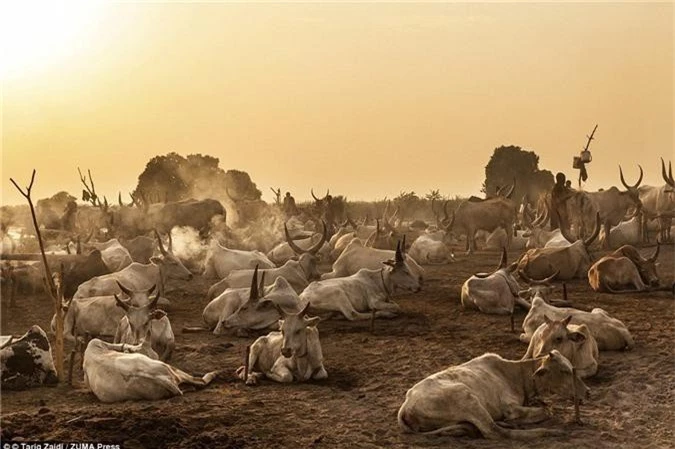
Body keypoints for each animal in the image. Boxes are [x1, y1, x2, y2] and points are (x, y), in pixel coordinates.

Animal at [398, 350, 588, 438]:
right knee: (495, 431)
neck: (516, 375)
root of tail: (406, 405)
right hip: (467, 398)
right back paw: (549, 432)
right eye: (564, 371)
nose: (588, 392)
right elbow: (547, 411)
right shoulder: (510, 408)